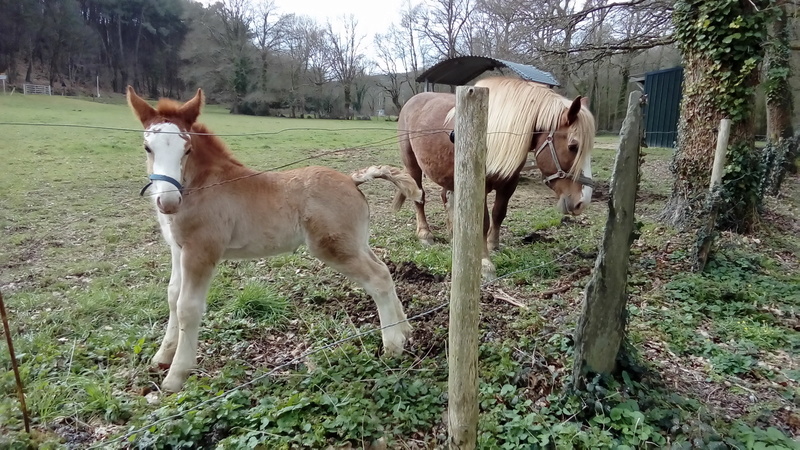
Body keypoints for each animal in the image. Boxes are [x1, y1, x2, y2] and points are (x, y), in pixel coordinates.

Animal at [125, 87, 422, 390]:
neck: (204, 186)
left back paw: (393, 346)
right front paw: (162, 357)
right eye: (147, 147)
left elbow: (188, 307)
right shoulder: (178, 249)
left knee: (378, 278)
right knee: (384, 269)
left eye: (187, 149)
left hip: (333, 248)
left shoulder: (201, 250)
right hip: (355, 242)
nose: (168, 202)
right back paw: (405, 329)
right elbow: (173, 296)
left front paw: (176, 376)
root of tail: (352, 180)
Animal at [394, 76, 592, 278]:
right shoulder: (479, 186)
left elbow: (499, 214)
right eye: (573, 146)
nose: (582, 201)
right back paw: (425, 234)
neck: (493, 135)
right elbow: (483, 221)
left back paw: (453, 234)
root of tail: (412, 101)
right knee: (420, 197)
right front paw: (485, 262)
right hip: (413, 165)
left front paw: (493, 246)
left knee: (446, 197)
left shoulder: (509, 183)